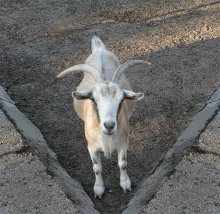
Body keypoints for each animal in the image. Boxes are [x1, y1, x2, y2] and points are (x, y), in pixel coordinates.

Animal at [56, 33, 150, 199]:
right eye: (93, 99)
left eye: (121, 100)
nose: (109, 125)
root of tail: (99, 49)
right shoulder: (92, 147)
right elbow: (97, 168)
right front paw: (99, 189)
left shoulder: (123, 143)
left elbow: (123, 163)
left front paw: (125, 184)